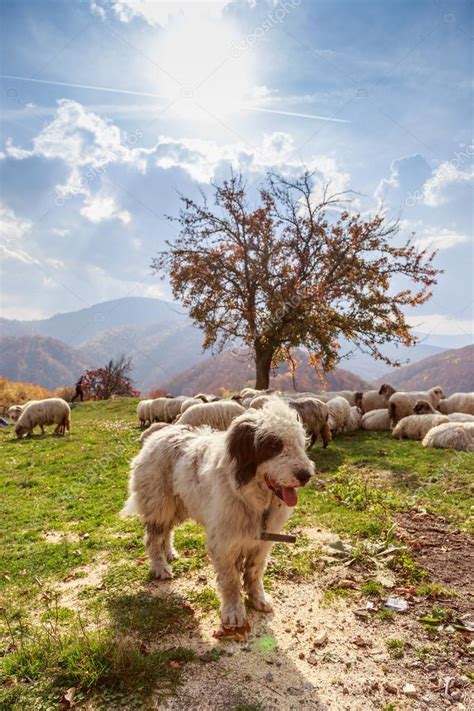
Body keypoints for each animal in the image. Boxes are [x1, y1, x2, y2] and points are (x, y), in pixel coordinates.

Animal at [122, 400, 314, 628]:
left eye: (299, 443)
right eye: (274, 445)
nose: (306, 475)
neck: (249, 496)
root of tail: (156, 435)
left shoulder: (261, 543)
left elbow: (255, 572)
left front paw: (258, 599)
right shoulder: (225, 543)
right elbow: (231, 581)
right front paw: (234, 612)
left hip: (178, 505)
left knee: (167, 533)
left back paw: (169, 552)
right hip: (159, 505)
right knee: (153, 538)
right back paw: (160, 567)